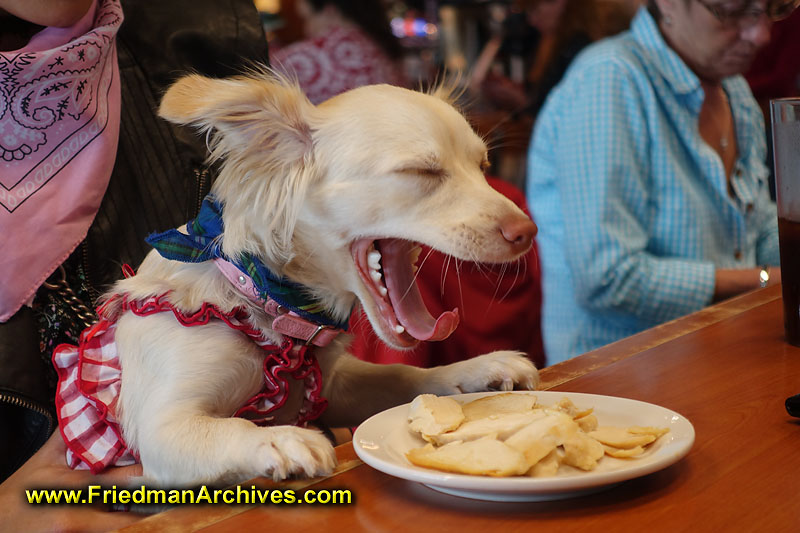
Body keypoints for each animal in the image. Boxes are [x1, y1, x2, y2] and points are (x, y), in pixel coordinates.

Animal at [53, 72, 540, 488]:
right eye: (422, 172)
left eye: (484, 167)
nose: (528, 231)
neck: (262, 300)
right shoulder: (162, 429)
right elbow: (228, 428)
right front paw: (280, 438)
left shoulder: (335, 387)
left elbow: (402, 373)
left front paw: (474, 370)